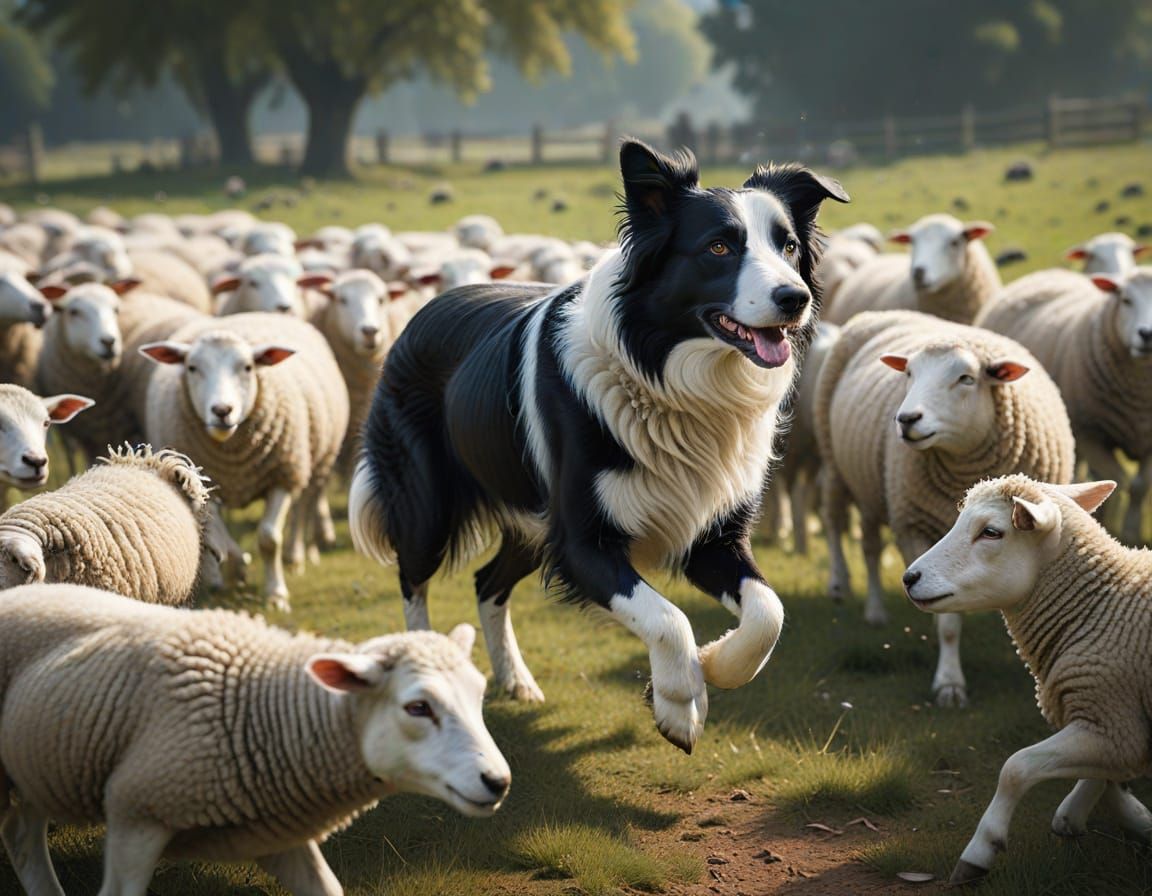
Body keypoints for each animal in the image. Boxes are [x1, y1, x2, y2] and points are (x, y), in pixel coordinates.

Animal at [0, 585, 510, 896]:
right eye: (418, 707)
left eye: (479, 694)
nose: (498, 781)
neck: (266, 707)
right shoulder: (137, 813)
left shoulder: (276, 834)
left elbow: (327, 887)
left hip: (34, 768)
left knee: (21, 835)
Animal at [141, 312, 349, 607]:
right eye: (192, 367)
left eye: (248, 367)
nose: (222, 410)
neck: (233, 457)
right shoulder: (203, 483)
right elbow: (220, 541)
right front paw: (237, 570)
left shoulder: (282, 476)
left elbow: (268, 538)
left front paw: (276, 594)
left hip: (314, 463)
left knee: (303, 508)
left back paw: (295, 557)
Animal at [815, 310, 1075, 706]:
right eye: (909, 374)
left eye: (966, 378)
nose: (906, 419)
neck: (963, 475)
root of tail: (880, 313)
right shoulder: (914, 528)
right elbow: (949, 625)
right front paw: (949, 684)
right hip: (842, 470)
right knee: (854, 536)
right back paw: (862, 601)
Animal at [903, 475, 1152, 885]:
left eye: (991, 532)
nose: (909, 578)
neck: (1102, 605)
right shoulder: (1114, 721)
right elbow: (1109, 773)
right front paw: (1128, 817)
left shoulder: (1110, 718)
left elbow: (1016, 768)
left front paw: (979, 851)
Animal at [976, 266, 1152, 544]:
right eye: (1126, 300)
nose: (1147, 334)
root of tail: (1049, 272)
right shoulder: (1090, 435)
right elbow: (1122, 482)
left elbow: (1140, 488)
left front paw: (1130, 532)